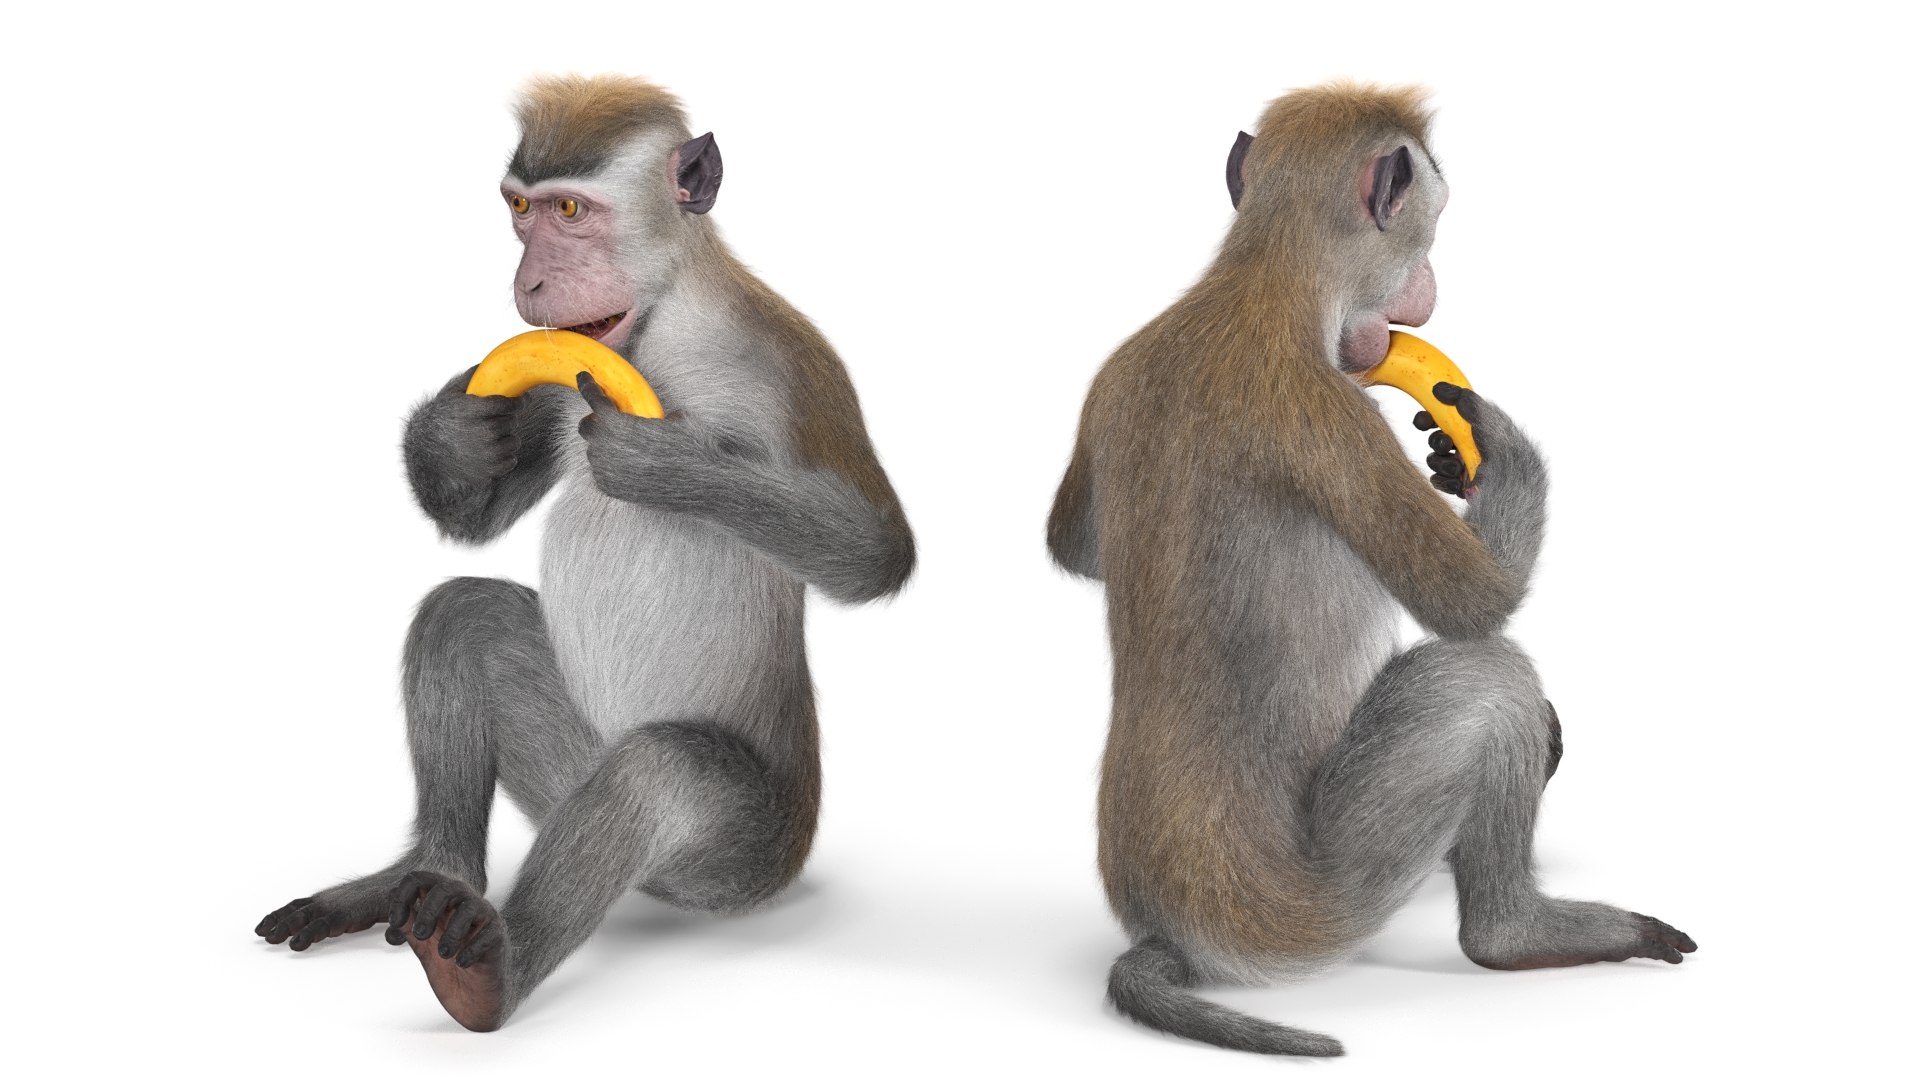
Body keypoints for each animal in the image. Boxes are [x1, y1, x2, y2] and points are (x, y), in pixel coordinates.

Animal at [254, 75, 914, 1032]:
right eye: (520, 209)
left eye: (572, 210)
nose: (529, 280)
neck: (666, 328)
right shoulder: (569, 373)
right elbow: (478, 518)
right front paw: (458, 430)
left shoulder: (785, 359)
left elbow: (876, 553)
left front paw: (663, 461)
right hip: (571, 762)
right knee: (464, 616)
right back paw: (427, 882)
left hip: (748, 851)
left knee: (657, 773)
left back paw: (492, 968)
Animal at [1046, 82, 1694, 1056]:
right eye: (1425, 241)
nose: (1426, 299)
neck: (1258, 283)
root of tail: (1177, 934)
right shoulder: (1332, 408)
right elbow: (1474, 607)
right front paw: (1488, 440)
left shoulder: (1118, 367)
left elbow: (1073, 549)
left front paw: (1455, 451)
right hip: (1320, 895)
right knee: (1484, 684)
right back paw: (1513, 933)